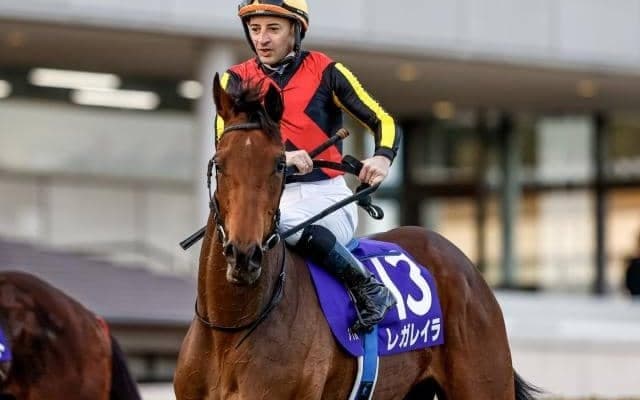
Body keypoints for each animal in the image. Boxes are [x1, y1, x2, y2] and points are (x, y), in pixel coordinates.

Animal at [173, 75, 539, 400]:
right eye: (220, 164)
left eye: (279, 164)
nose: (244, 255)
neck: (229, 329)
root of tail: (466, 266)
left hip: (483, 383)